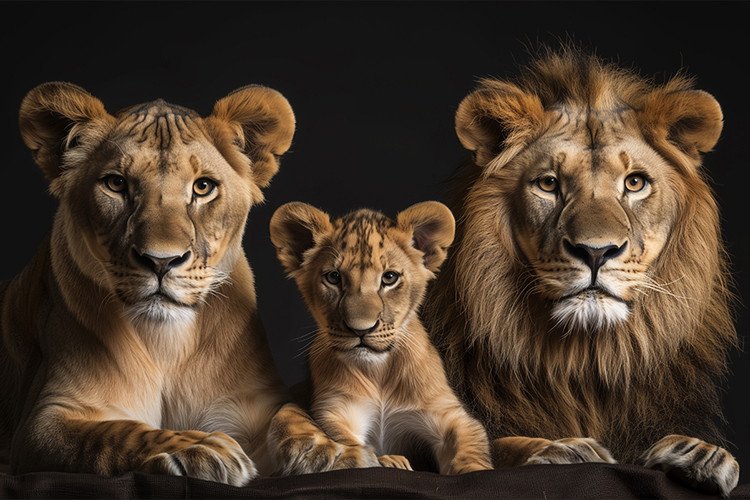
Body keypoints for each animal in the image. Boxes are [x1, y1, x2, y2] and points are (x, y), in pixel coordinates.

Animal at [0, 82, 345, 484]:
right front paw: (199, 447)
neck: (166, 344)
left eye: (204, 187)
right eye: (116, 184)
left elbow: (293, 415)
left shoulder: (255, 401)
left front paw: (332, 450)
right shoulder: (44, 422)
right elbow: (114, 433)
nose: (161, 261)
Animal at [270, 202, 492, 474]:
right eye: (333, 277)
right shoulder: (335, 411)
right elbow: (347, 443)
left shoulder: (448, 414)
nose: (361, 330)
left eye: (389, 277)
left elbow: (470, 447)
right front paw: (390, 460)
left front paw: (474, 469)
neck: (379, 373)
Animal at [423, 50, 740, 495]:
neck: (584, 362)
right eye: (548, 184)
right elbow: (494, 444)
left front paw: (701, 454)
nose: (596, 251)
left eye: (635, 183)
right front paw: (563, 449)